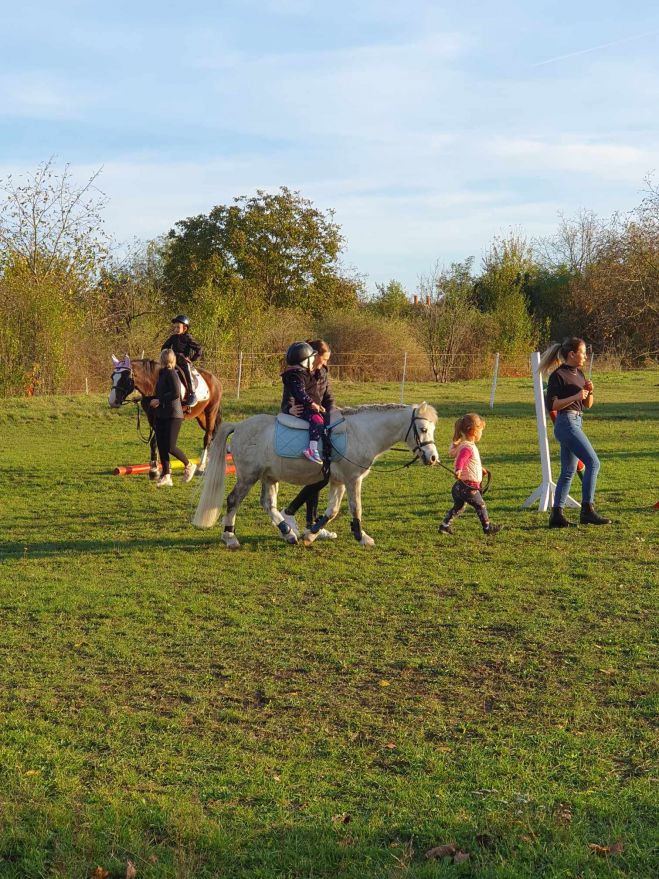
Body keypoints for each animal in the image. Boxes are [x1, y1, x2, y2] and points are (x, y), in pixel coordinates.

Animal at [192, 402, 438, 548]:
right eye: (423, 429)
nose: (433, 457)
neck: (360, 433)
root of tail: (240, 426)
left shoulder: (338, 481)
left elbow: (332, 510)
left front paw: (310, 534)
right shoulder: (352, 479)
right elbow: (355, 508)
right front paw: (362, 537)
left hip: (269, 477)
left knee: (268, 504)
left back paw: (288, 533)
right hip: (247, 476)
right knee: (233, 500)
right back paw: (230, 537)